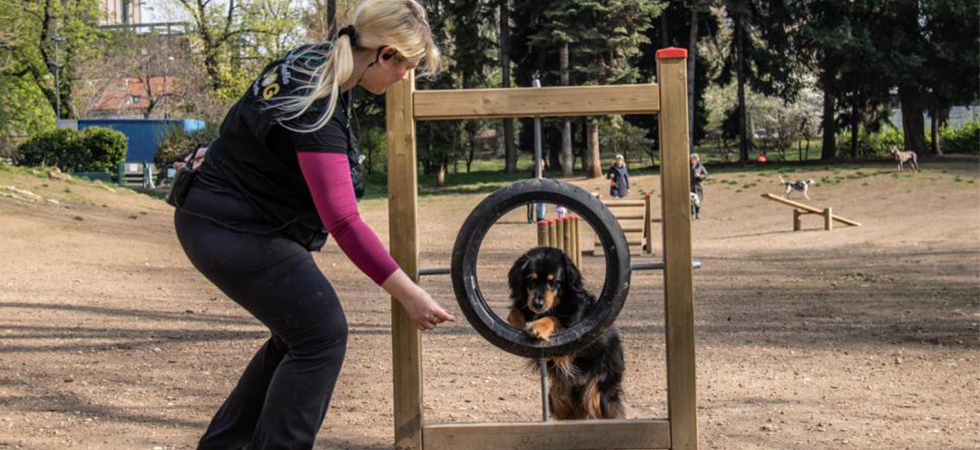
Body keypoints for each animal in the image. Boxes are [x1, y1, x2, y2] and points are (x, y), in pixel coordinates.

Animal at [506, 244, 628, 420]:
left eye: (554, 282)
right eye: (531, 279)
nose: (538, 303)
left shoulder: (571, 336)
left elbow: (552, 318)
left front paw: (538, 327)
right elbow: (514, 312)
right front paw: (524, 323)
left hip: (597, 392)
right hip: (558, 396)